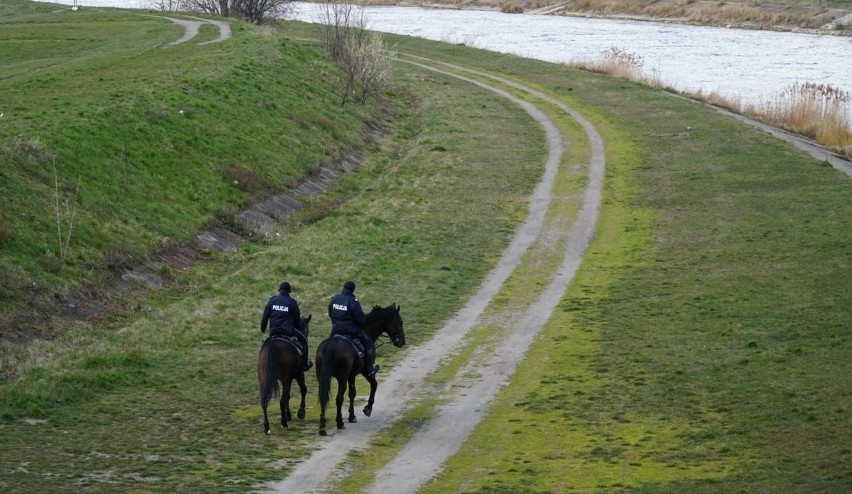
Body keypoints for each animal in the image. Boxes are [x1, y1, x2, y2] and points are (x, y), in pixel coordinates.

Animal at [316, 304, 406, 436]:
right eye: (399, 323)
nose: (402, 342)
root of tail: (331, 345)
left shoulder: (351, 375)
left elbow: (352, 393)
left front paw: (352, 416)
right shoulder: (365, 372)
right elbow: (374, 385)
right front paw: (367, 408)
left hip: (322, 378)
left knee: (323, 398)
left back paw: (322, 427)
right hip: (342, 379)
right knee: (339, 398)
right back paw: (339, 422)